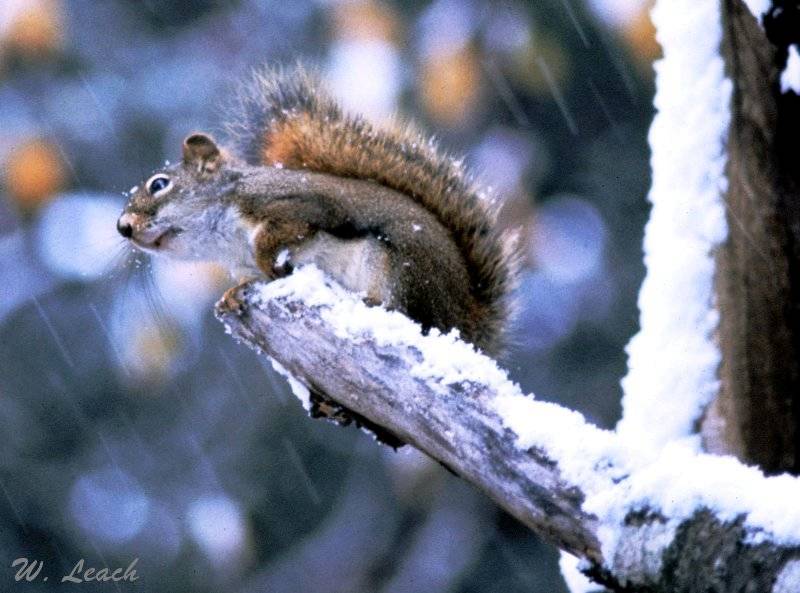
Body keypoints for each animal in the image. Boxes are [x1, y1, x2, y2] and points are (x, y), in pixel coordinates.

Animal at [119, 68, 520, 356]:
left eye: (159, 184)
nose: (123, 227)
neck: (223, 237)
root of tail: (464, 323)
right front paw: (235, 292)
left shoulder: (290, 203)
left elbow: (286, 232)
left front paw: (267, 260)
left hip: (397, 264)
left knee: (409, 311)